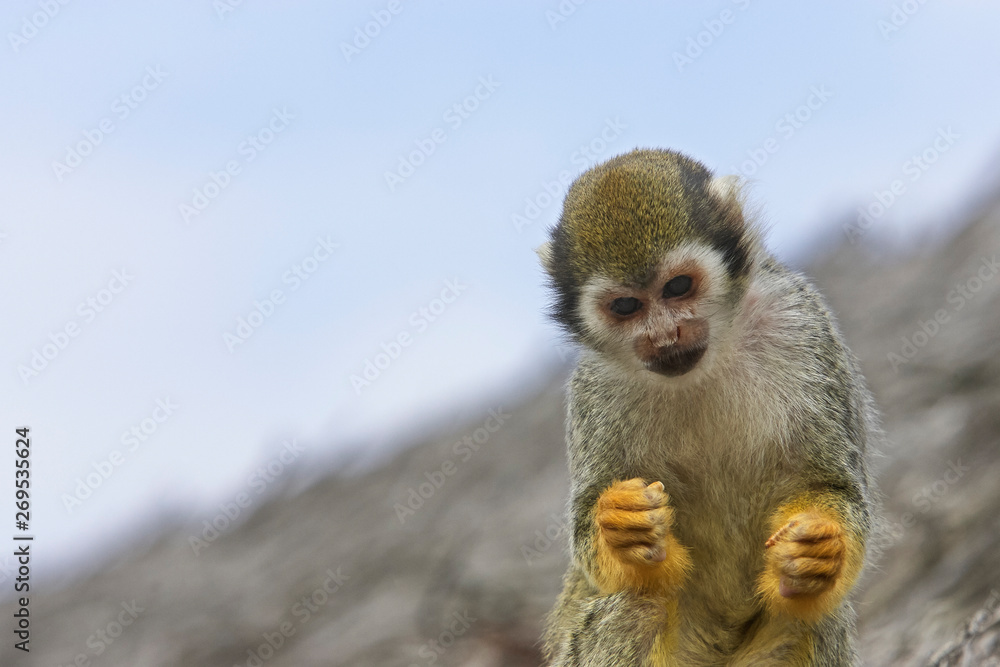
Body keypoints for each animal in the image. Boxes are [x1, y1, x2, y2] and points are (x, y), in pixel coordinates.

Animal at [537, 149, 879, 666]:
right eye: (626, 306)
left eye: (678, 287)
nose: (665, 335)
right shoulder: (593, 388)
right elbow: (590, 534)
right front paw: (620, 526)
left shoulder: (802, 323)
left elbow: (833, 482)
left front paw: (821, 548)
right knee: (636, 605)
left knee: (812, 612)